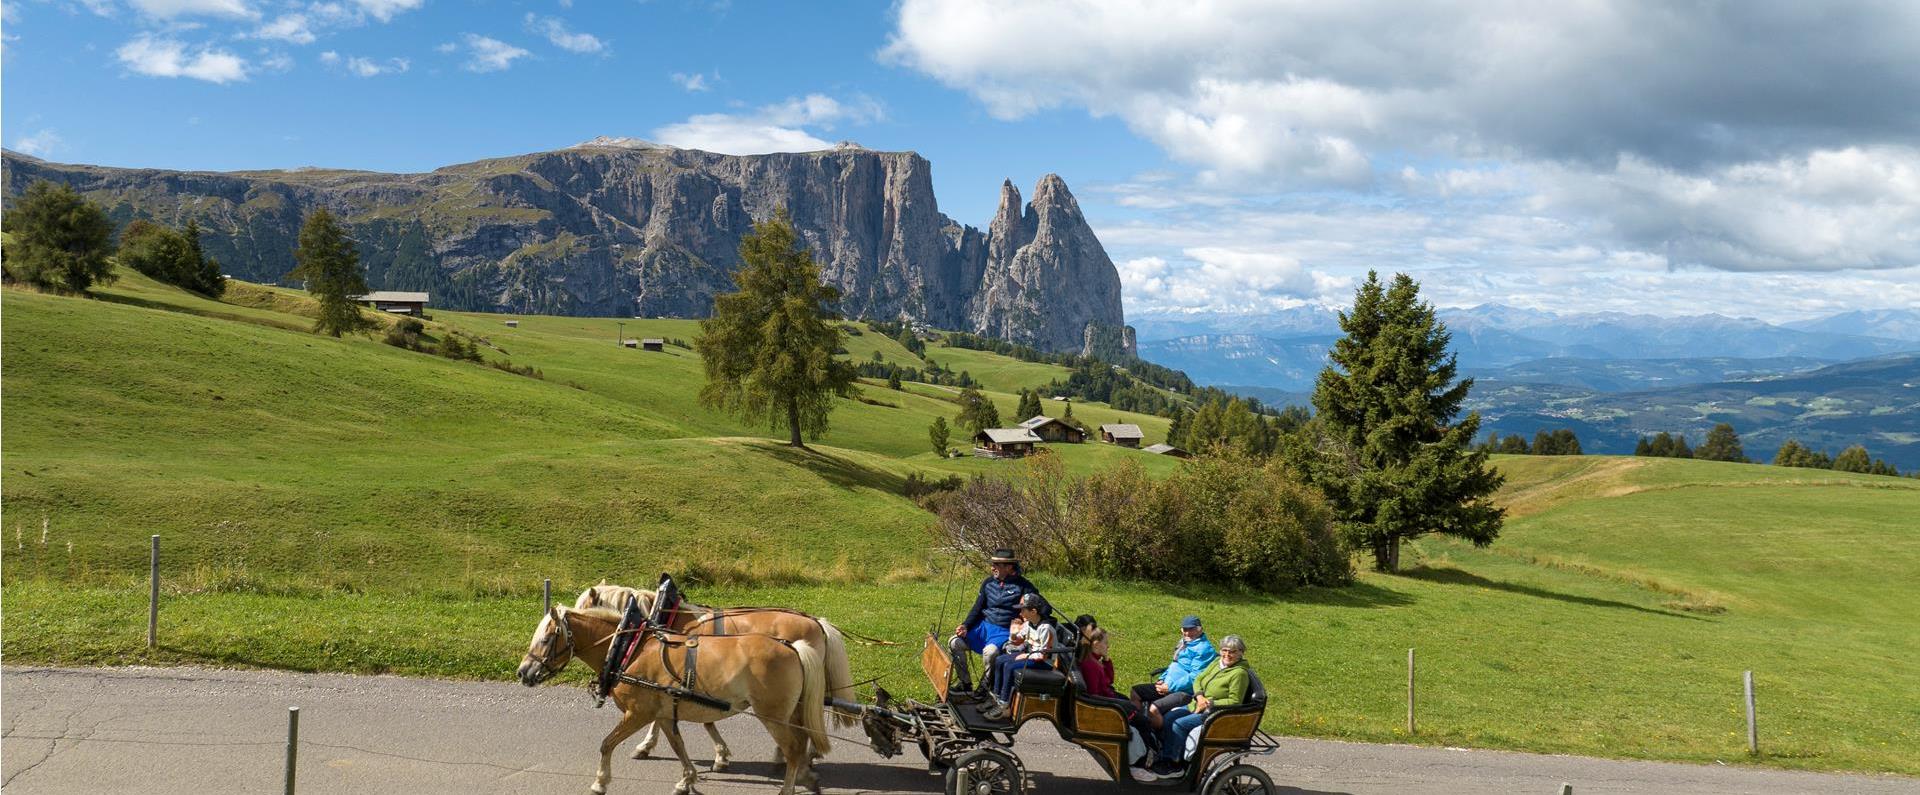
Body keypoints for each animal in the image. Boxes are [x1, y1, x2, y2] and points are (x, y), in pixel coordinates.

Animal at [522, 606, 829, 791]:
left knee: (793, 749)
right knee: (801, 742)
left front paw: (600, 782)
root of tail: (793, 648)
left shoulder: (638, 713)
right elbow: (678, 745)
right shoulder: (663, 713)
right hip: (791, 712)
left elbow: (607, 743)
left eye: (546, 639)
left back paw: (789, 786)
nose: (523, 672)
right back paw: (807, 775)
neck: (630, 649)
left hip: (773, 714)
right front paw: (687, 778)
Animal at [576, 576, 864, 764]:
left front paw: (645, 745)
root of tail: (818, 622)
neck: (666, 619)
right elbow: (701, 718)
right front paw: (720, 753)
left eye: (581, 608)